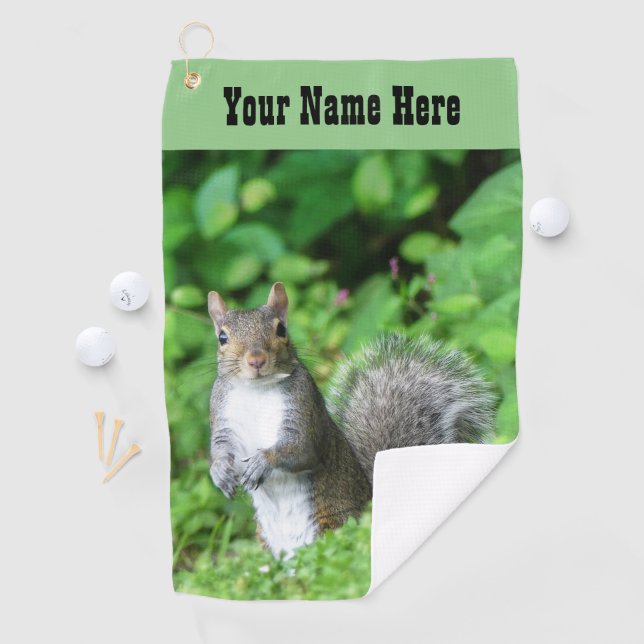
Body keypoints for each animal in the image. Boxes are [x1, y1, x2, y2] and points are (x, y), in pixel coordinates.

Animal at [208, 282, 495, 559]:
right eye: (222, 337)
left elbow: (301, 449)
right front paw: (219, 472)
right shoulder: (221, 417)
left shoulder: (305, 410)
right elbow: (221, 449)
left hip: (332, 524)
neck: (256, 390)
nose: (256, 360)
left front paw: (261, 461)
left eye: (281, 329)